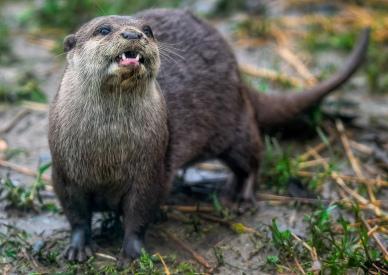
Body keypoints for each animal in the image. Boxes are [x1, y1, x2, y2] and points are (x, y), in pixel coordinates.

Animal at [48, 8, 370, 264]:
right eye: (103, 29)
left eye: (148, 30)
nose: (133, 33)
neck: (107, 152)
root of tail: (240, 75)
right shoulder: (64, 172)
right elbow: (76, 214)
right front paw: (77, 247)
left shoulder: (151, 170)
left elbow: (139, 213)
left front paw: (131, 251)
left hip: (234, 124)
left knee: (252, 157)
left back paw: (240, 197)